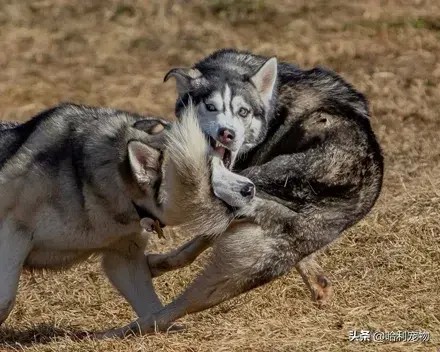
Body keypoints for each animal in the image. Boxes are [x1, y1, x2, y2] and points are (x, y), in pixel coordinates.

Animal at [0, 103, 253, 328]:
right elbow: (6, 301)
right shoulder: (15, 232)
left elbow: (152, 310)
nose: (250, 188)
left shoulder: (124, 257)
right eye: (207, 173)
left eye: (223, 163)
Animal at [99, 50, 382, 338]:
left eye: (243, 112)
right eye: (210, 107)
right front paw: (319, 284)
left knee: (171, 307)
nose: (227, 134)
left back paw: (122, 329)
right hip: (254, 261)